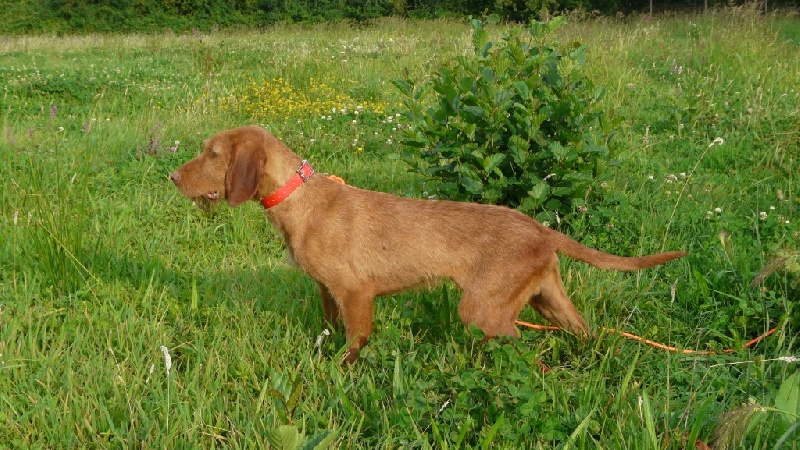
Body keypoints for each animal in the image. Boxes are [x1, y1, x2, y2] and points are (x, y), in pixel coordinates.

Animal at [172, 125, 684, 362]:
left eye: (212, 154)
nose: (172, 176)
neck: (301, 200)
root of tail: (539, 228)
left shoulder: (357, 294)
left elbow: (354, 345)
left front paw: (340, 376)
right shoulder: (328, 293)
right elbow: (329, 332)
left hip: (482, 309)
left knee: (520, 346)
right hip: (548, 299)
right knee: (584, 333)